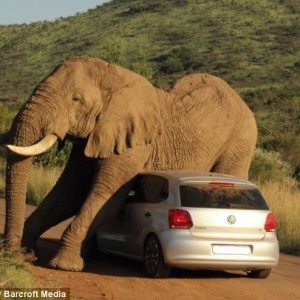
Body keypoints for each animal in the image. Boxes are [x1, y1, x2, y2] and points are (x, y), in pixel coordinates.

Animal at [1, 56, 256, 272]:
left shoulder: (135, 144)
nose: (12, 255)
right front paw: (26, 253)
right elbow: (69, 193)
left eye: (77, 100)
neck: (115, 77)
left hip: (239, 142)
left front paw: (63, 265)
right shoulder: (95, 135)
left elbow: (107, 198)